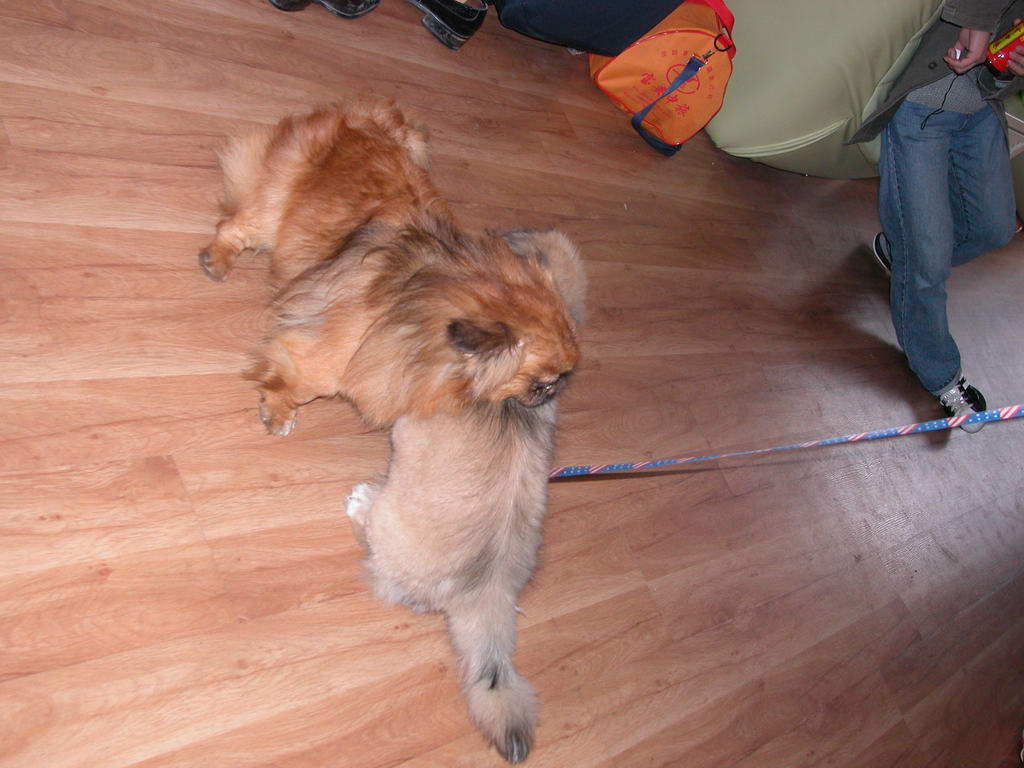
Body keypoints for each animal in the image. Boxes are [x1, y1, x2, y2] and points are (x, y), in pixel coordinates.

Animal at [199, 101, 585, 762]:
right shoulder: (331, 357)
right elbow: (301, 376)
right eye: (539, 382)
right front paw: (278, 408)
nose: (552, 395)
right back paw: (218, 261)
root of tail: (364, 117)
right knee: (239, 225)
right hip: (272, 208)